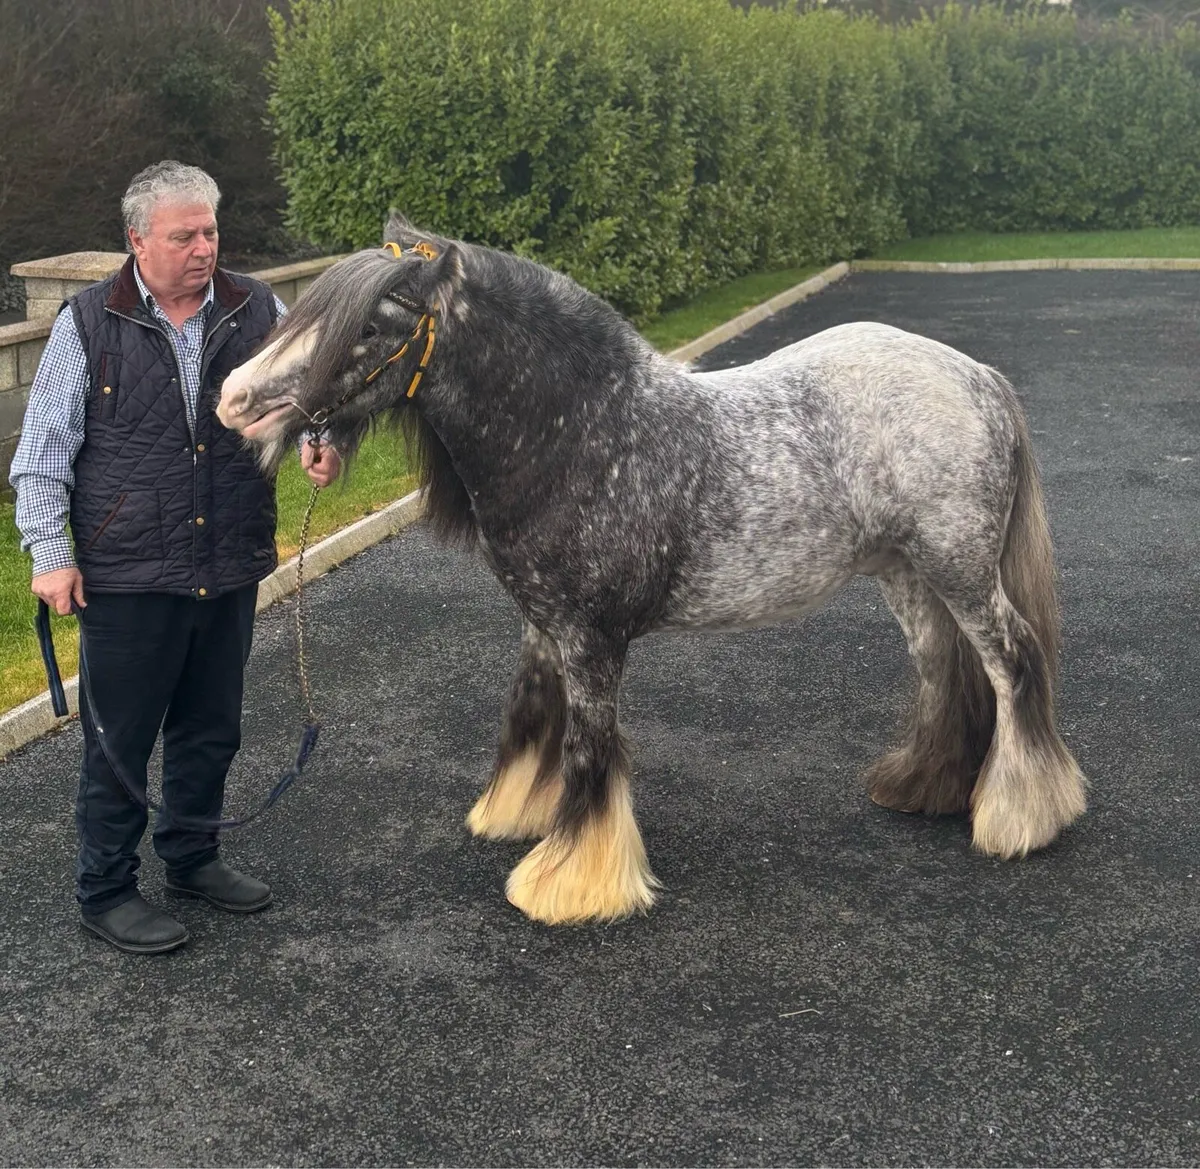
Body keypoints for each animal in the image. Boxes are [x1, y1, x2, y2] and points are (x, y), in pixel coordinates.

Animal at [216, 214, 1088, 925]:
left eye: (370, 325)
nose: (234, 399)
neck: (583, 431)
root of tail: (977, 378)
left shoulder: (591, 639)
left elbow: (589, 747)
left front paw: (570, 881)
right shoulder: (546, 626)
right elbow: (533, 720)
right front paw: (521, 816)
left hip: (960, 568)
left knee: (1012, 663)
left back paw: (1021, 817)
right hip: (908, 574)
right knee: (946, 669)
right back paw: (926, 786)